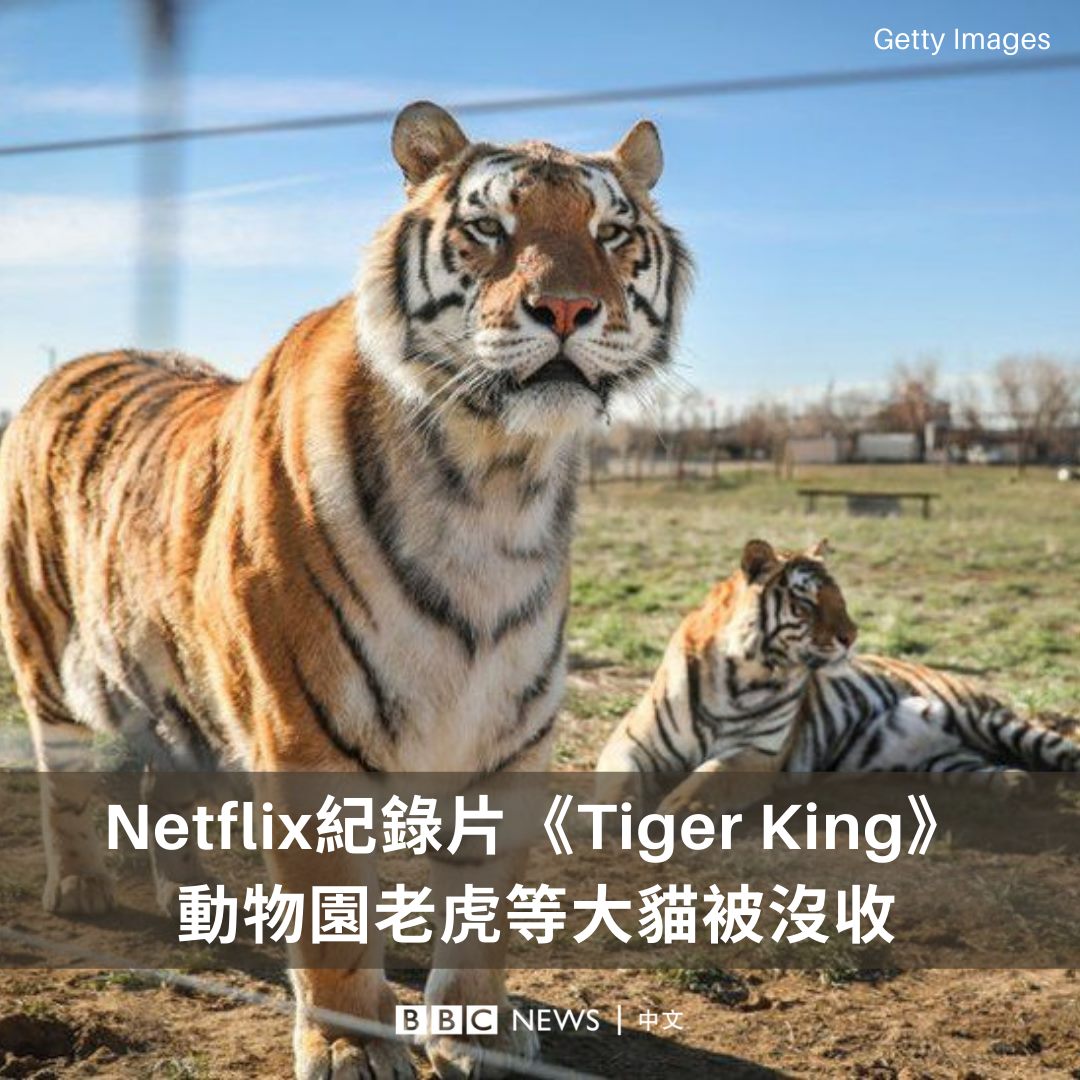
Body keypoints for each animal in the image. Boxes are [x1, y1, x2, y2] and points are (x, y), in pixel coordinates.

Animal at [0, 101, 691, 1080]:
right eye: (491, 228)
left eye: (612, 233)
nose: (566, 307)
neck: (495, 479)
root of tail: (70, 364)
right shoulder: (304, 728)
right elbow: (330, 912)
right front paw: (349, 1044)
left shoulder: (513, 731)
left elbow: (483, 907)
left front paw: (477, 1028)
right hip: (46, 650)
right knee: (63, 772)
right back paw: (84, 887)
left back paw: (197, 900)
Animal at [596, 538, 1080, 812]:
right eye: (807, 603)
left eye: (840, 599)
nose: (852, 635)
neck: (740, 673)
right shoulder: (633, 738)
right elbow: (617, 774)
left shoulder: (758, 753)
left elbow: (710, 775)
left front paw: (677, 808)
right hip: (946, 759)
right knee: (979, 765)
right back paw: (1014, 785)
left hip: (986, 717)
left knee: (1060, 749)